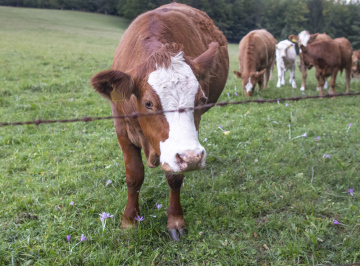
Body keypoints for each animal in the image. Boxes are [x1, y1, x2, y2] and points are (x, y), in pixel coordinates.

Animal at [89, 2, 228, 240]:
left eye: (200, 100)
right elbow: (134, 176)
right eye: (148, 103)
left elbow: (174, 177)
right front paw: (129, 221)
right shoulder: (121, 129)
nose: (192, 158)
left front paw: (175, 220)